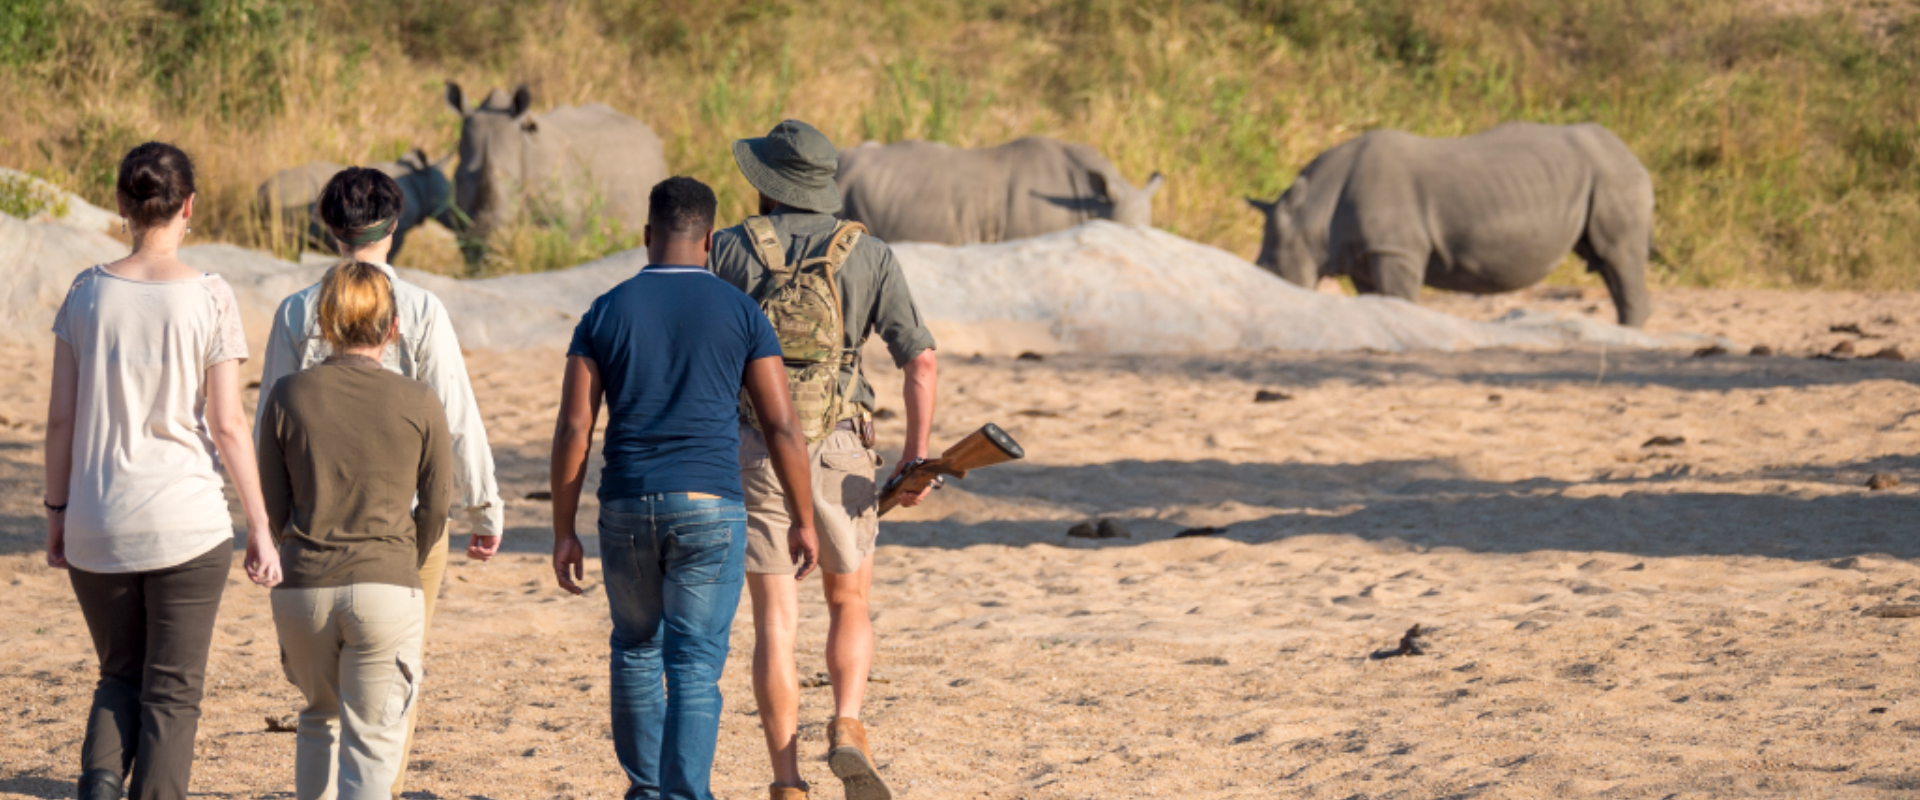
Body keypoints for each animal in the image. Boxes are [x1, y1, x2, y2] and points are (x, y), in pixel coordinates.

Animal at [1244, 120, 1651, 324]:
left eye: (1271, 266)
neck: (1314, 208)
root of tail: (1635, 157)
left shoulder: (1396, 250)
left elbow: (1400, 298)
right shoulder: (1364, 254)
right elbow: (1377, 301)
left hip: (1616, 177)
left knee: (1619, 255)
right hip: (1603, 176)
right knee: (1606, 262)